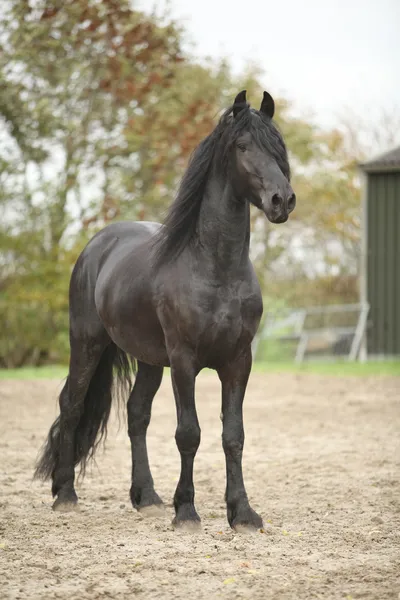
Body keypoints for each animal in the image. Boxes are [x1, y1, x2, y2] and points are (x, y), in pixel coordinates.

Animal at [35, 89, 296, 528]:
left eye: (279, 148)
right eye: (243, 146)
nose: (283, 200)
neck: (215, 267)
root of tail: (96, 246)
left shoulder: (238, 361)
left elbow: (234, 436)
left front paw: (242, 513)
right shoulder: (185, 360)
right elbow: (188, 433)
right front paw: (187, 512)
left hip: (149, 360)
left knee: (137, 414)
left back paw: (147, 497)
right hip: (87, 343)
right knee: (71, 404)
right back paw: (66, 494)